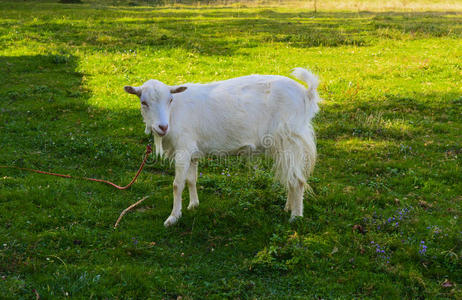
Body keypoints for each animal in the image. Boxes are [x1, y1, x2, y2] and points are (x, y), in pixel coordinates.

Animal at [126, 68, 322, 226]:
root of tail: (306, 94)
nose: (162, 127)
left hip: (290, 139)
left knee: (297, 180)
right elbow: (191, 180)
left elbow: (177, 184)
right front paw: (193, 205)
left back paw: (296, 216)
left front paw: (173, 217)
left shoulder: (183, 149)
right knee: (290, 176)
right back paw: (288, 208)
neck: (174, 114)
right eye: (143, 102)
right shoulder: (192, 150)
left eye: (170, 99)